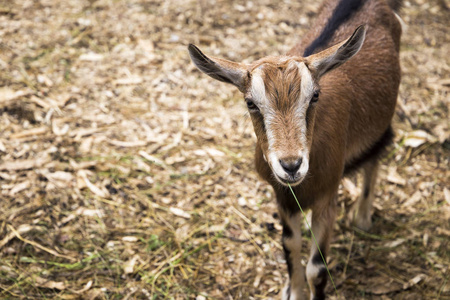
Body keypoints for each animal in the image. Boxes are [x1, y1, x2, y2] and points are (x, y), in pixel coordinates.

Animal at [186, 0, 400, 298]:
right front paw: (294, 291)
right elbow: (290, 247)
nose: (291, 165)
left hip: (383, 121)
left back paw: (362, 218)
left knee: (376, 154)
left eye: (315, 96)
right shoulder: (283, 198)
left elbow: (317, 269)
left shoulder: (327, 197)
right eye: (250, 103)